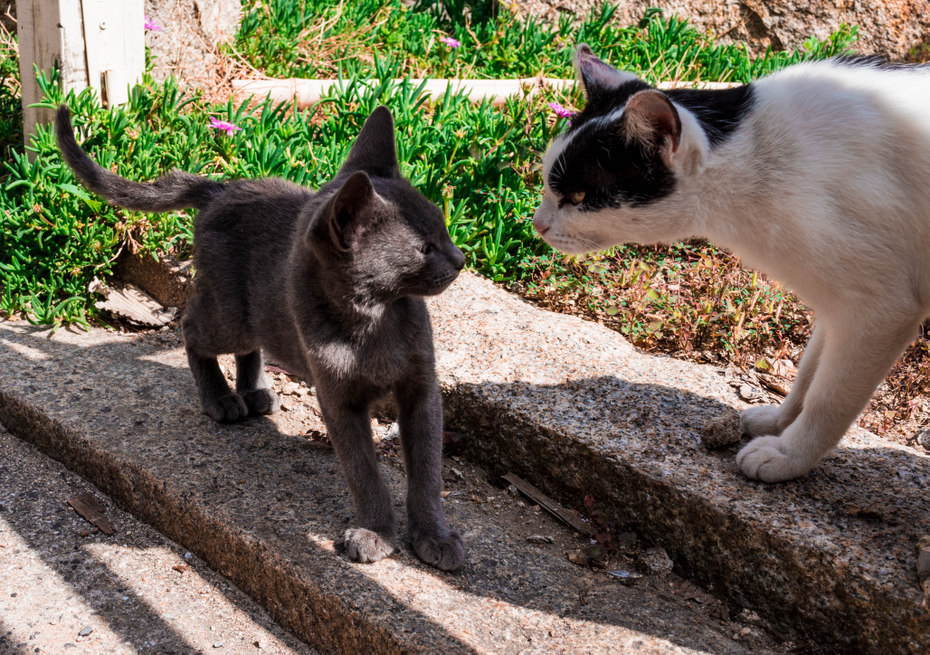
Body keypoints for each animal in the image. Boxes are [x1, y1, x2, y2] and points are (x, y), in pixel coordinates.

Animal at [52, 105, 464, 572]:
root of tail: (221, 188)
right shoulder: (338, 399)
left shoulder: (421, 388)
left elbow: (427, 470)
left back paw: (254, 391)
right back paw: (220, 398)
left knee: (247, 342)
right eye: (424, 248)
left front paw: (434, 536)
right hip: (231, 313)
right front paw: (376, 532)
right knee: (191, 326)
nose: (460, 259)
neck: (374, 319)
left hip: (256, 313)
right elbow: (364, 472)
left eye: (444, 229)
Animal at [528, 44, 928, 482]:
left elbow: (829, 400)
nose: (537, 224)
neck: (757, 155)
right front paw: (779, 423)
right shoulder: (836, 303)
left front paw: (788, 456)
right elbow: (808, 376)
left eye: (580, 197)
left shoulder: (878, 311)